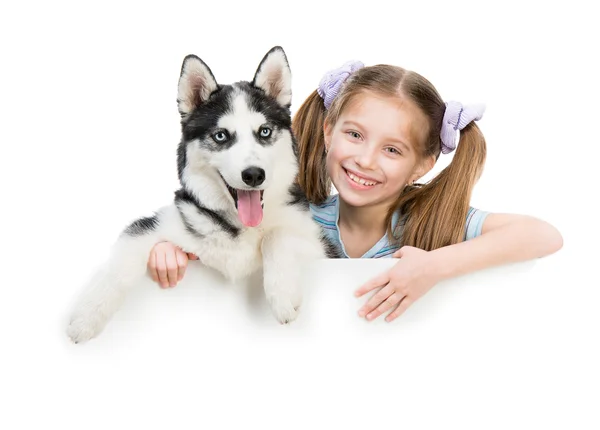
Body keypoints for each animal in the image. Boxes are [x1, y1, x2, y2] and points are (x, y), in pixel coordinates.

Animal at [68, 46, 340, 342]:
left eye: (264, 131)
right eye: (221, 136)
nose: (254, 175)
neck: (241, 226)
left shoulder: (322, 248)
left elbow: (277, 236)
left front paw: (283, 294)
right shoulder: (161, 224)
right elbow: (122, 257)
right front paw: (86, 317)